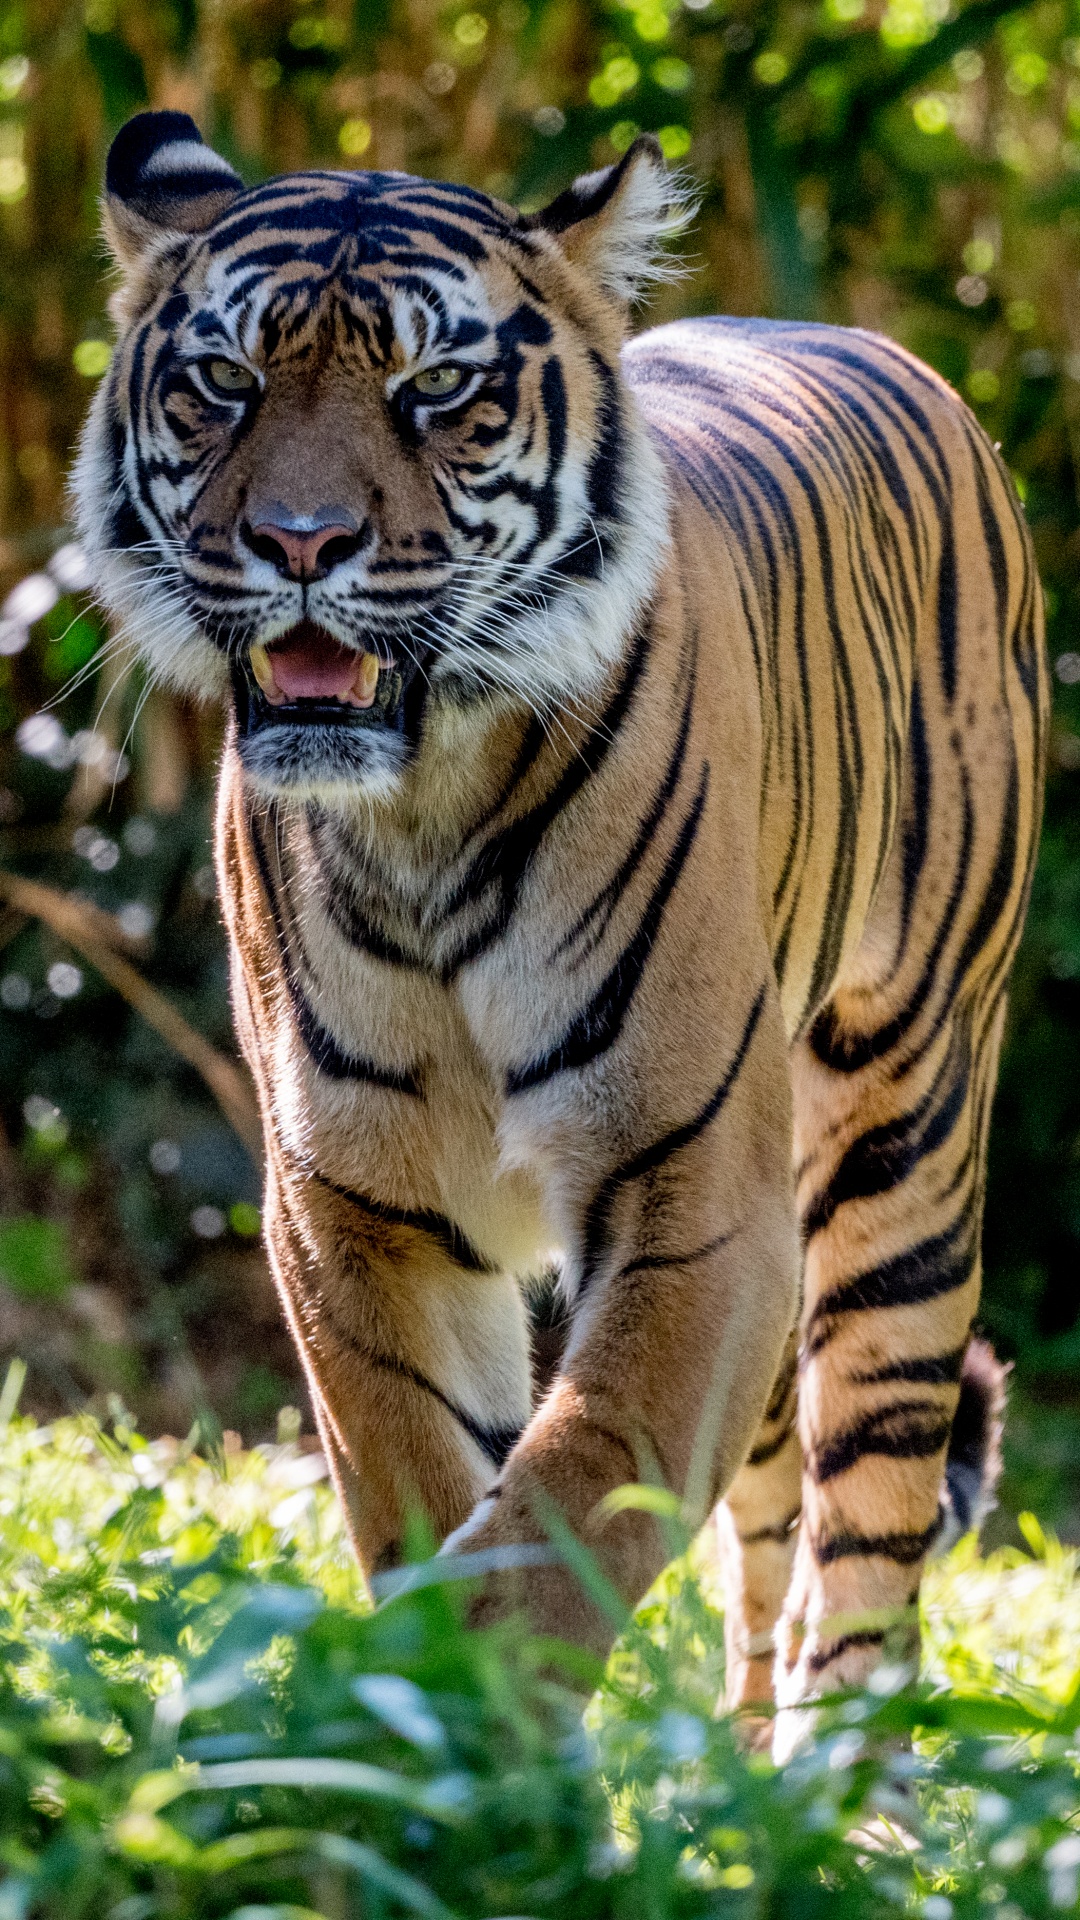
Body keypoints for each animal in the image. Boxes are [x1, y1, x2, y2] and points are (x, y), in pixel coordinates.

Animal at [73, 108, 1046, 1753]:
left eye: (434, 390)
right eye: (226, 382)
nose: (300, 542)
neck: (424, 816)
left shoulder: (695, 1198)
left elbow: (573, 1504)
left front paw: (476, 1741)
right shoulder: (357, 1207)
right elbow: (433, 1490)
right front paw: (427, 1740)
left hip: (900, 1135)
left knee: (870, 1523)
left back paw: (843, 1787)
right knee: (769, 1529)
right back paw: (729, 1773)